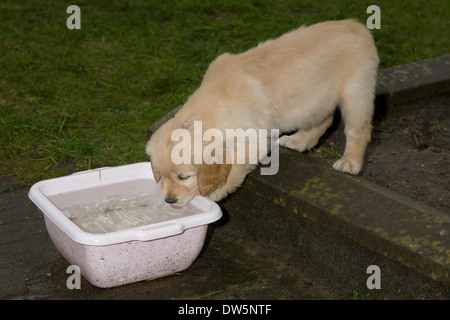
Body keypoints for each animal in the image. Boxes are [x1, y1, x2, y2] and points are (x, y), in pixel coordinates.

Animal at [148, 20, 380, 206]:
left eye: (183, 176)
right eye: (160, 174)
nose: (169, 200)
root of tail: (357, 25)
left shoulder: (254, 138)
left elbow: (235, 165)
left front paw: (219, 189)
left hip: (356, 92)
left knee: (359, 129)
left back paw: (350, 162)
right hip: (313, 100)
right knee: (326, 119)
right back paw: (298, 141)